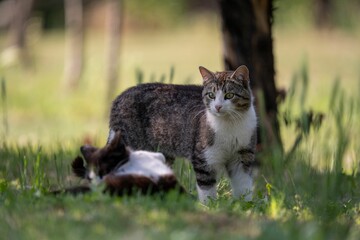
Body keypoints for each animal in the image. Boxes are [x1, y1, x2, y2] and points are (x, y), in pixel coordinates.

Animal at [108, 65, 258, 202]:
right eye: (211, 95)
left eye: (229, 95)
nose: (218, 106)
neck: (230, 125)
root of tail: (119, 97)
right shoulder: (203, 158)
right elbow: (207, 188)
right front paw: (209, 206)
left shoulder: (243, 155)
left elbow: (243, 184)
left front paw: (245, 205)